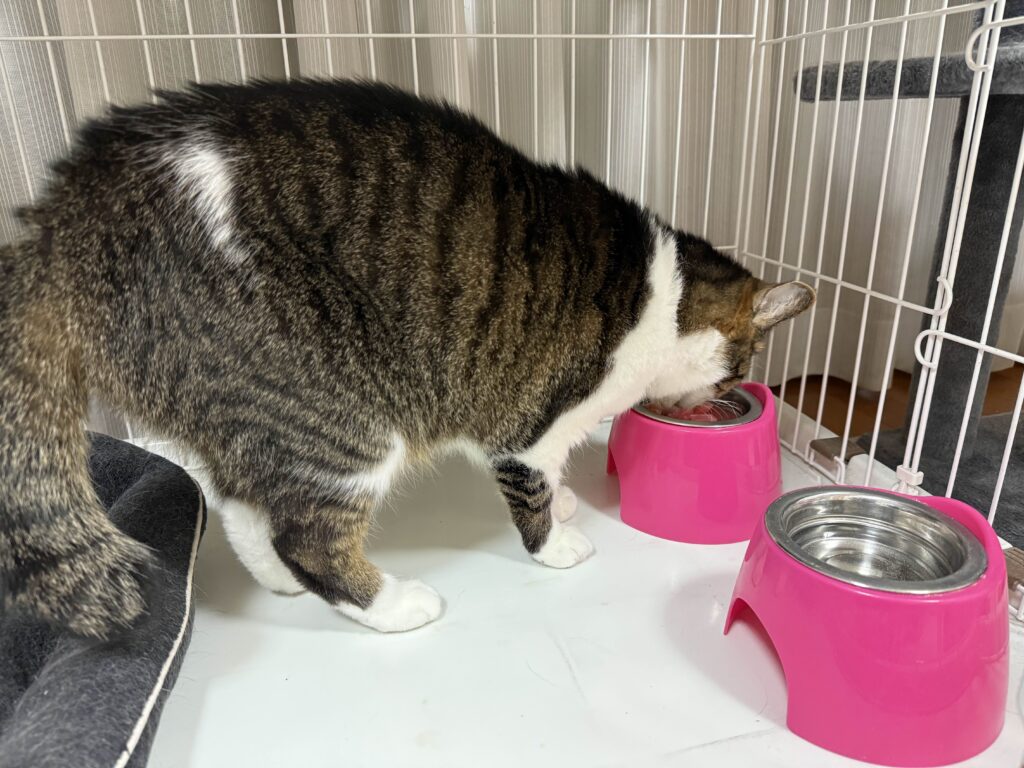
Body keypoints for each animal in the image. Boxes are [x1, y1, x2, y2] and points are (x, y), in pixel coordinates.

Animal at [0, 79, 813, 639]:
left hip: (245, 412)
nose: (721, 396)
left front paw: (568, 498)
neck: (665, 293)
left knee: (241, 504)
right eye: (740, 370)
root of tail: (64, 220)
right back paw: (392, 605)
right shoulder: (527, 420)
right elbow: (533, 486)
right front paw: (555, 542)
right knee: (308, 537)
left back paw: (279, 580)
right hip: (335, 415)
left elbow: (555, 476)